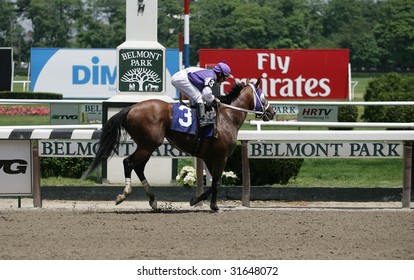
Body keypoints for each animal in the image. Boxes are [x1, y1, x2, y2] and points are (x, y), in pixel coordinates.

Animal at [83, 80, 274, 211]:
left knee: (138, 167)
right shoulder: (221, 157)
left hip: (147, 145)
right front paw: (213, 206)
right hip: (149, 144)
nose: (272, 112)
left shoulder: (209, 157)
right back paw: (124, 194)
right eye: (264, 96)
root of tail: (131, 108)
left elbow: (215, 182)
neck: (228, 118)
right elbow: (216, 183)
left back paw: (153, 200)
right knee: (128, 162)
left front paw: (196, 200)